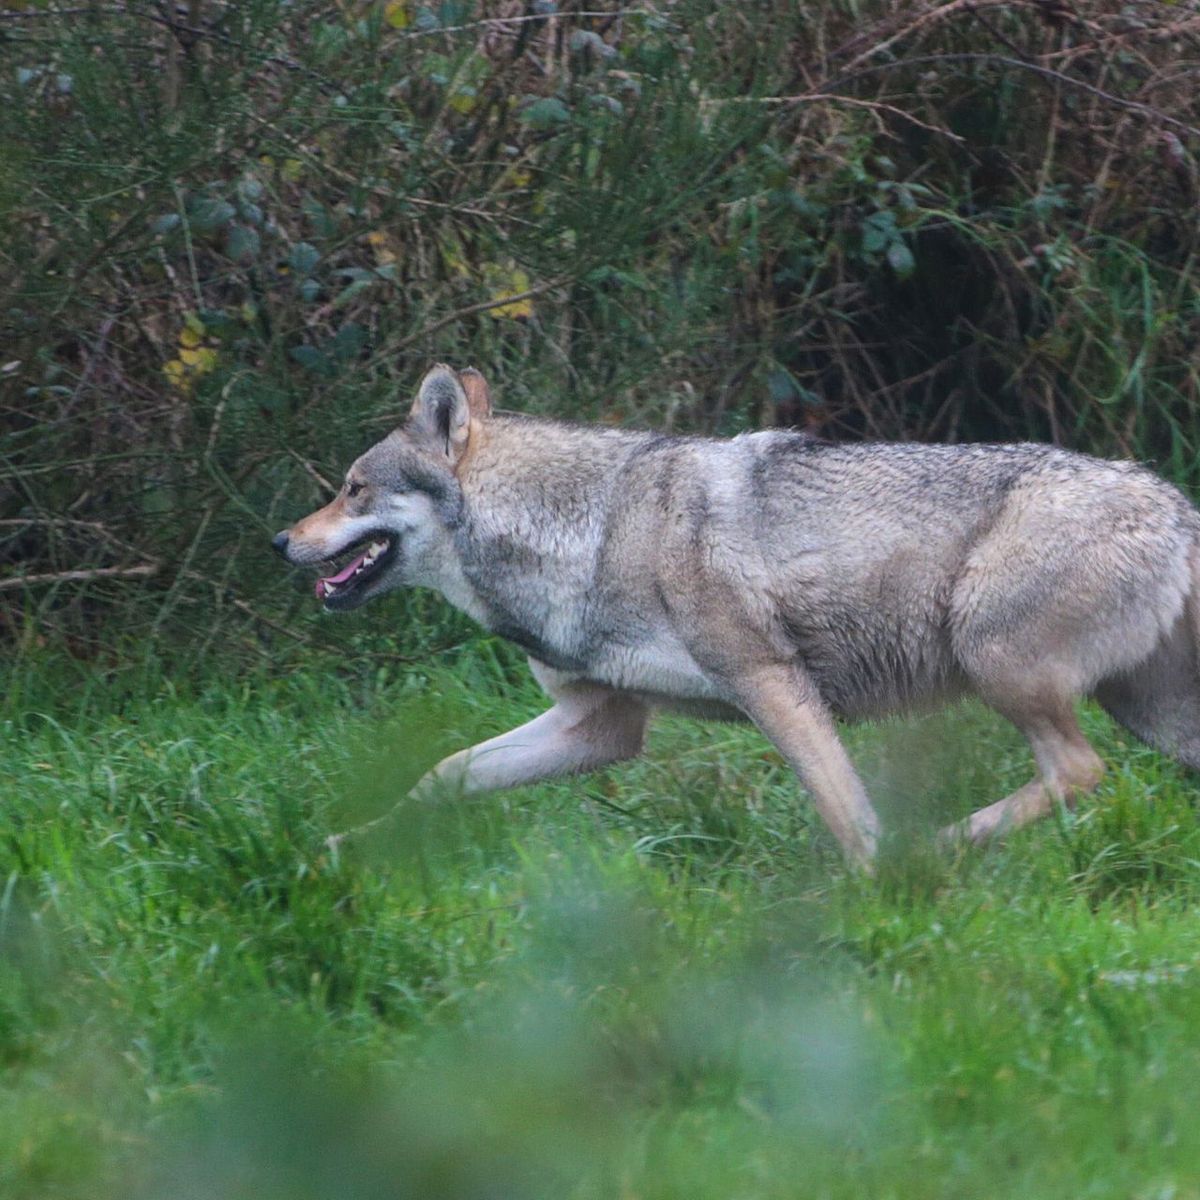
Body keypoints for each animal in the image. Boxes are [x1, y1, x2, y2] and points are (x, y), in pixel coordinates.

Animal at [272, 360, 1200, 868]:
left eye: (352, 488)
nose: (282, 539)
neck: (588, 530)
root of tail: (1176, 504)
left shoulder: (772, 684)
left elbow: (847, 816)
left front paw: (879, 890)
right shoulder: (600, 729)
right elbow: (444, 774)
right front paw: (344, 850)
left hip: (999, 668)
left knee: (1079, 771)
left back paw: (939, 847)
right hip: (1153, 721)